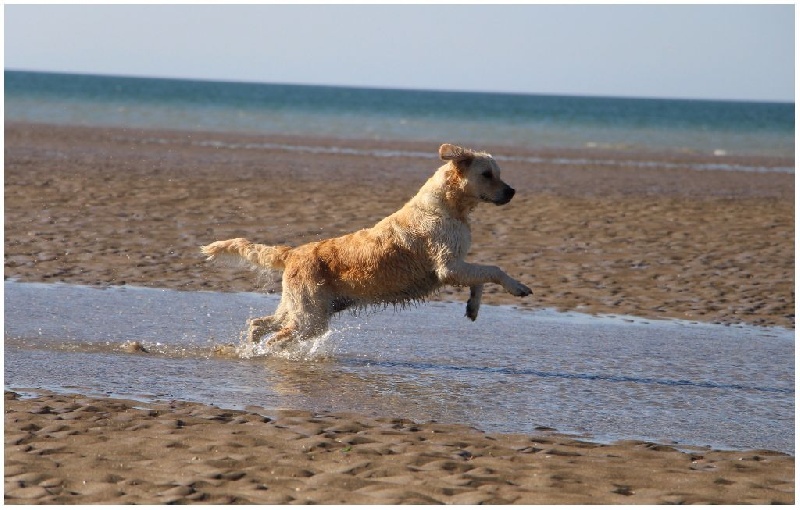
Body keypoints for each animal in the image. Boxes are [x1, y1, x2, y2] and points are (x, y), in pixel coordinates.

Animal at [198, 143, 532, 346]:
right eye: (487, 174)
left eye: (499, 174)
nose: (512, 191)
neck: (449, 206)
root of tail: (293, 252)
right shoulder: (448, 266)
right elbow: (493, 269)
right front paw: (517, 286)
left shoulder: (458, 265)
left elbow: (480, 278)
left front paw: (473, 307)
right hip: (310, 316)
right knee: (279, 337)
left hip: (298, 306)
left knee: (259, 323)